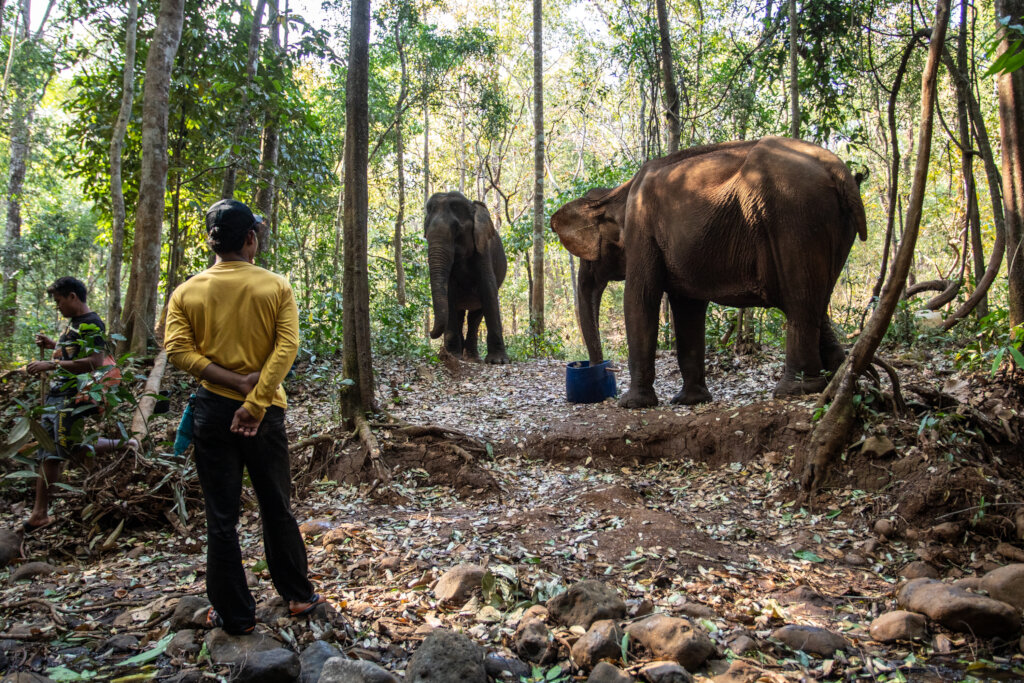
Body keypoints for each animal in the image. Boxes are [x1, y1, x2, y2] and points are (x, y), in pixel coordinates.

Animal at [425, 191, 510, 364]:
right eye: (426, 231)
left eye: (457, 229)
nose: (430, 333)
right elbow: (450, 293)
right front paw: (452, 356)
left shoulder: (483, 249)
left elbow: (489, 290)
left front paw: (498, 361)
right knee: (460, 314)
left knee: (475, 317)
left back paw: (472, 358)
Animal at [551, 136, 867, 408]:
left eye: (588, 259)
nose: (597, 368)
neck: (616, 193)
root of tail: (841, 172)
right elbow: (687, 307)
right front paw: (690, 400)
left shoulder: (641, 228)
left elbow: (640, 299)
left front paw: (632, 404)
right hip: (830, 226)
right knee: (816, 302)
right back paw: (835, 377)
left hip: (795, 218)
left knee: (800, 301)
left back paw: (793, 390)